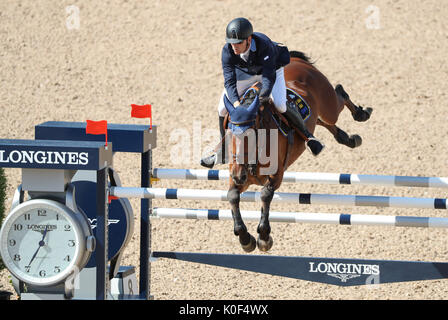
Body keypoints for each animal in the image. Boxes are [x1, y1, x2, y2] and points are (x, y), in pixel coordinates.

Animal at [222, 50, 372, 252]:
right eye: (229, 132)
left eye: (251, 133)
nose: (239, 175)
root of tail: (296, 60)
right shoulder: (242, 179)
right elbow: (232, 196)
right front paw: (245, 238)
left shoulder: (277, 175)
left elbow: (265, 195)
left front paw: (264, 237)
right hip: (316, 116)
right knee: (322, 123)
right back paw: (347, 139)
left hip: (329, 106)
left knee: (339, 96)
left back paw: (361, 113)